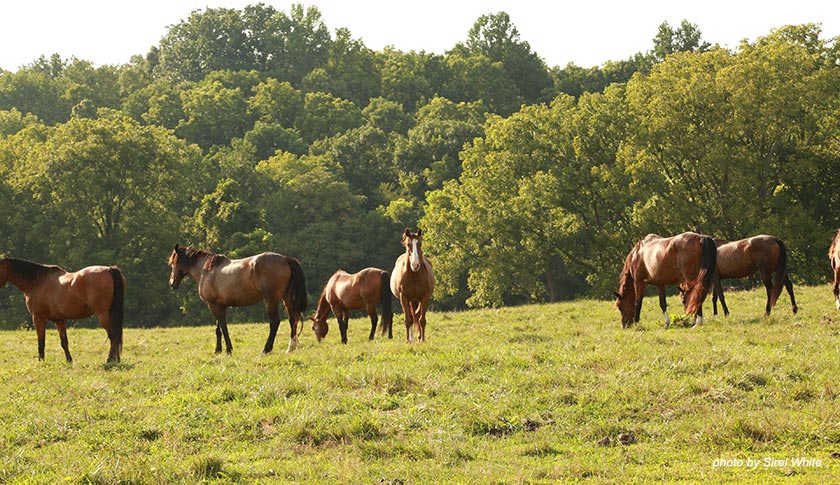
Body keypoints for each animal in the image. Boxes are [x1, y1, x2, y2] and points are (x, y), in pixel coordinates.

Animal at [168, 245, 308, 354]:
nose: (172, 283)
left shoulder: (213, 305)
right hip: (287, 298)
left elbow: (223, 327)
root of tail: (286, 259)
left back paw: (266, 350)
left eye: (173, 263)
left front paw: (228, 349)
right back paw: (290, 348)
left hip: (271, 300)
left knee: (274, 322)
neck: (206, 270)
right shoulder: (219, 305)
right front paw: (218, 350)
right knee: (292, 319)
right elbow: (218, 328)